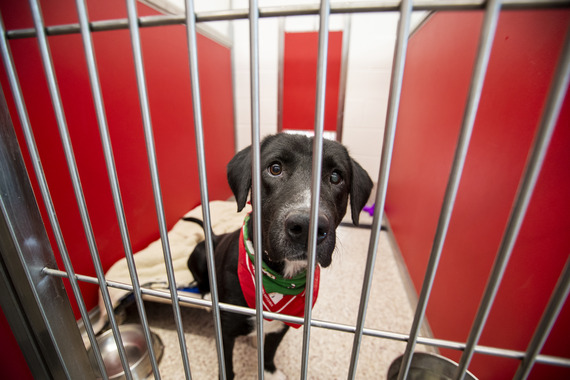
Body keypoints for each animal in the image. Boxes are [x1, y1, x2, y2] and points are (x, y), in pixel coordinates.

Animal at [186, 132, 372, 378]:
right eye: (275, 168)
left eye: (335, 176)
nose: (306, 226)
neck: (278, 277)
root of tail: (215, 236)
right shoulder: (225, 330)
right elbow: (227, 365)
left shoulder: (284, 324)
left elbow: (270, 349)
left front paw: (270, 371)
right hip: (199, 253)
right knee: (200, 280)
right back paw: (207, 294)